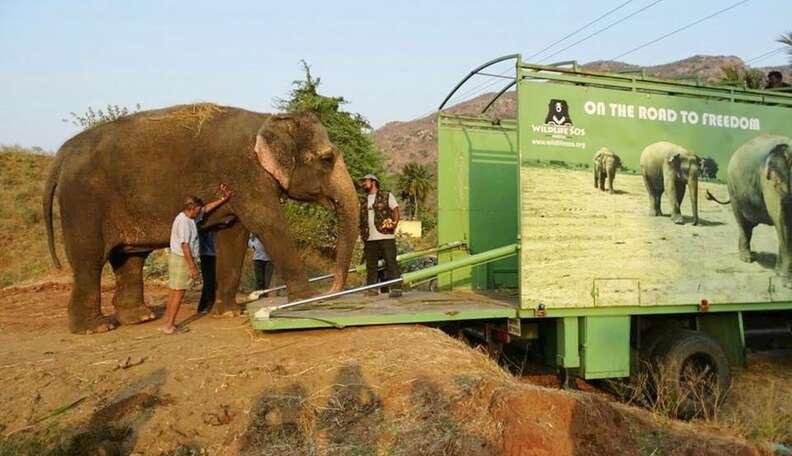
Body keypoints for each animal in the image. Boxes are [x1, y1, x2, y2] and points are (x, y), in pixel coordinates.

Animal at [44, 105, 360, 334]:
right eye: (327, 159)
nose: (332, 289)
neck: (267, 119)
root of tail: (63, 152)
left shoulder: (237, 185)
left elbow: (234, 233)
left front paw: (229, 312)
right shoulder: (245, 174)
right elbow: (268, 223)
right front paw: (307, 297)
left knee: (130, 258)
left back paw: (139, 318)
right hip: (83, 203)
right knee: (89, 260)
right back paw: (96, 328)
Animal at [704, 134, 792, 280]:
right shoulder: (770, 182)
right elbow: (783, 219)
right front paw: (785, 277)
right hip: (733, 189)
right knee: (743, 223)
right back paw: (747, 258)